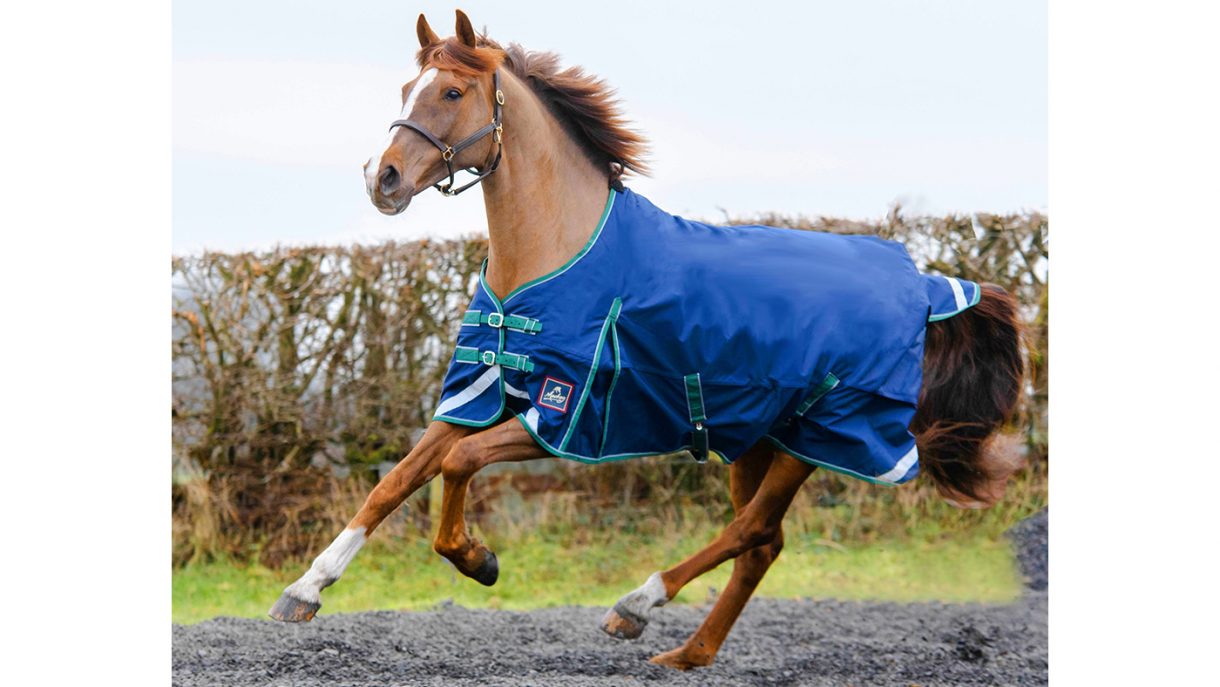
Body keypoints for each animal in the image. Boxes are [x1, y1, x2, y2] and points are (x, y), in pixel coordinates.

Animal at [269, 9, 1025, 671]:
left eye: (452, 91)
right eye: (407, 89)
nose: (384, 178)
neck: (551, 258)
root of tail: (923, 289)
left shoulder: (562, 413)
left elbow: (458, 465)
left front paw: (478, 559)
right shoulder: (480, 391)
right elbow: (396, 480)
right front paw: (304, 590)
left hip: (817, 436)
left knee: (750, 530)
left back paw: (636, 605)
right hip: (758, 440)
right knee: (763, 542)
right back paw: (689, 653)